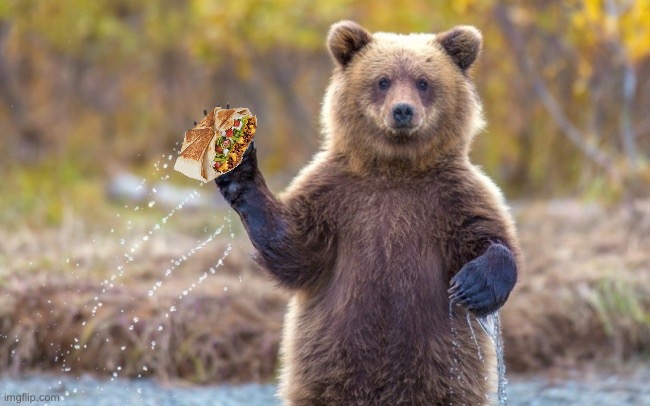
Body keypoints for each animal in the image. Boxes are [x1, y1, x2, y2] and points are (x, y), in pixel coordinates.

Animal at [215, 20, 523, 405]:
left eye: (423, 81)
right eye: (383, 80)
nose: (403, 111)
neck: (394, 169)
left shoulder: (452, 196)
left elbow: (488, 235)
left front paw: (474, 285)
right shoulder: (336, 196)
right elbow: (294, 248)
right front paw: (238, 168)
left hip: (444, 372)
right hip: (328, 366)